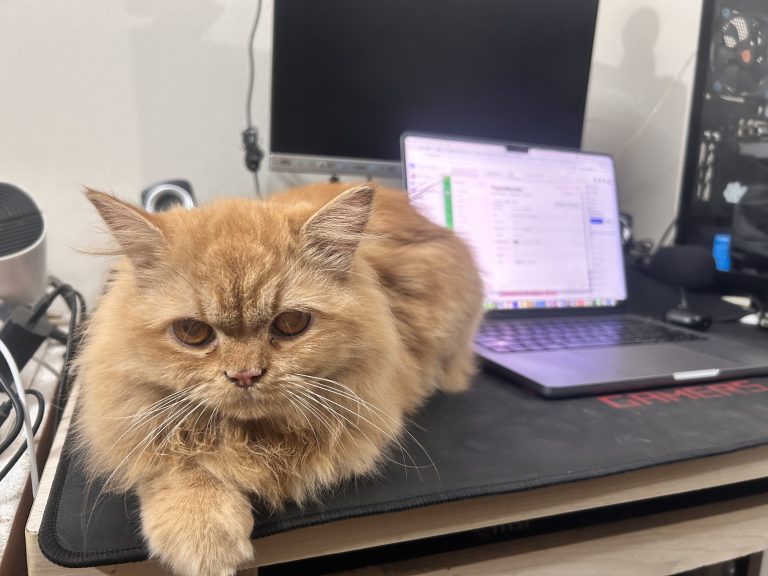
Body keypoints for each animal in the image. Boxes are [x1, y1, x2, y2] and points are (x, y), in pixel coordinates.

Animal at [75, 183, 484, 576]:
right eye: (192, 331)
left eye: (291, 323)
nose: (244, 374)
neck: (253, 436)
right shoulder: (132, 416)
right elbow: (179, 461)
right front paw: (202, 532)